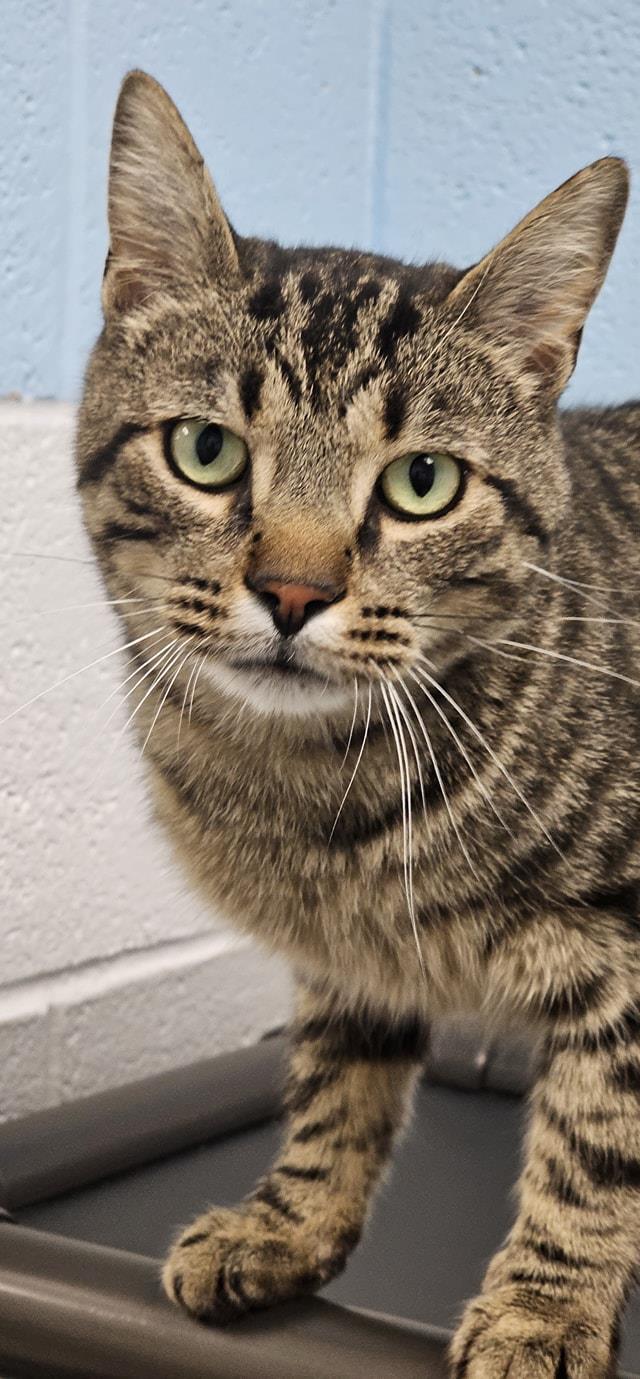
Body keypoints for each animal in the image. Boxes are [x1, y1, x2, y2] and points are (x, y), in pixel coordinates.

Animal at [77, 72, 637, 1379]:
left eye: (422, 481)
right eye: (206, 449)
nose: (292, 590)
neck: (313, 782)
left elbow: (595, 1134)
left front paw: (544, 1306)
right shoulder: (344, 951)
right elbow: (338, 1079)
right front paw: (289, 1220)